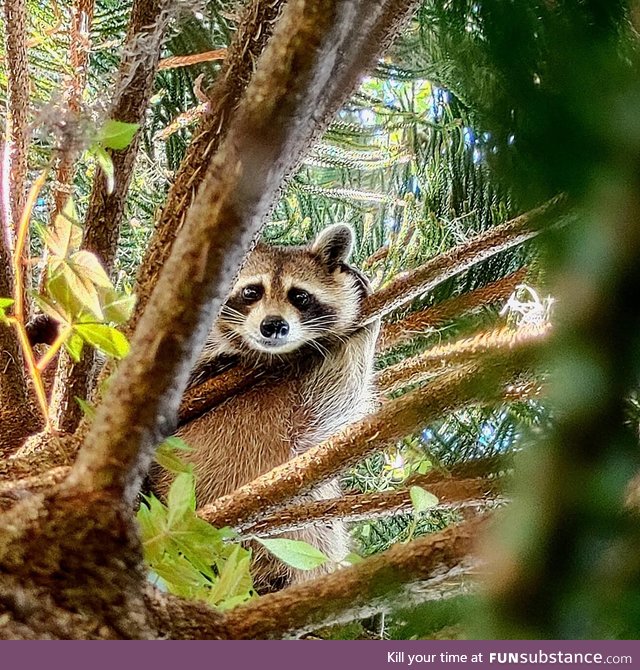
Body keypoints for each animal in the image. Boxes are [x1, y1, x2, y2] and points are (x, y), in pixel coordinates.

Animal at [164, 226, 380, 592]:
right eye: (252, 291)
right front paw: (213, 362)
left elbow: (336, 393)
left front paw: (366, 324)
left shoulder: (303, 415)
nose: (274, 325)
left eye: (300, 296)